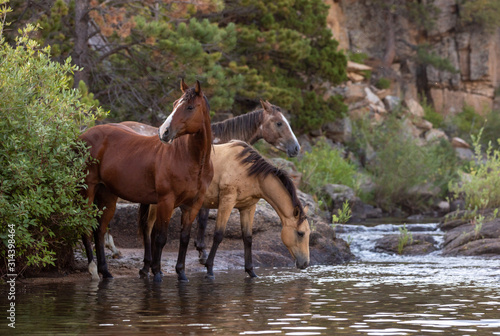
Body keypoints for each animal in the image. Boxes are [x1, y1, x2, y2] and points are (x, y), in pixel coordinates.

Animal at [79, 80, 212, 282]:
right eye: (175, 104)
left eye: (190, 107)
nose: (164, 132)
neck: (190, 159)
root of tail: (82, 136)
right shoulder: (166, 201)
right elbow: (160, 237)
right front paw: (156, 272)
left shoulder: (193, 204)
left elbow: (184, 238)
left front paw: (181, 273)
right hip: (88, 190)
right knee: (86, 226)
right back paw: (93, 270)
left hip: (107, 194)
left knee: (99, 230)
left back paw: (106, 272)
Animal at [141, 140, 310, 280]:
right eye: (300, 233)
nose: (305, 263)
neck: (249, 172)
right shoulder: (227, 201)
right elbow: (218, 235)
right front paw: (209, 269)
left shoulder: (248, 207)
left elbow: (248, 238)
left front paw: (251, 271)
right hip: (160, 202)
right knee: (148, 229)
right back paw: (146, 269)